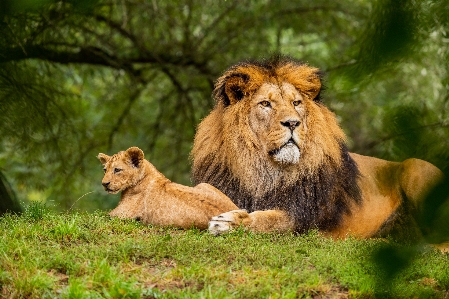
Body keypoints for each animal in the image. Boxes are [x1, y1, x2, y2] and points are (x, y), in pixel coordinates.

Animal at [191, 55, 442, 240]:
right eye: (265, 104)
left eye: (296, 103)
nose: (293, 123)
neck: (264, 171)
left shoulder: (303, 217)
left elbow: (269, 219)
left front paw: (230, 222)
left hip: (415, 167)